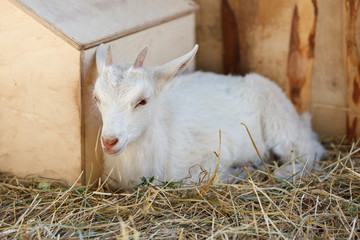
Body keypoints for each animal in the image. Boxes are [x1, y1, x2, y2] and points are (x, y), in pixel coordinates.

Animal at [94, 44, 324, 188]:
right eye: (96, 98)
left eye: (142, 101)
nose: (110, 141)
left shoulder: (213, 153)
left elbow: (200, 179)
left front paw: (240, 171)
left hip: (279, 118)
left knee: (309, 148)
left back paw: (282, 172)